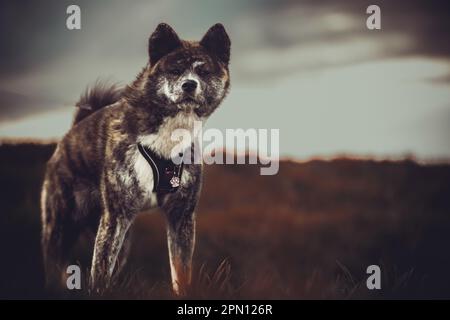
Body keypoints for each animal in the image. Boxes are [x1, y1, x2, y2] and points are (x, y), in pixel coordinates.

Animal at [40, 22, 230, 294]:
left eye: (203, 71)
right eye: (174, 70)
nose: (189, 85)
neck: (170, 134)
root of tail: (70, 134)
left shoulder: (181, 217)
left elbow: (181, 272)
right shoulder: (116, 216)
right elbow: (99, 272)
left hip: (118, 234)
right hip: (61, 225)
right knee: (55, 264)